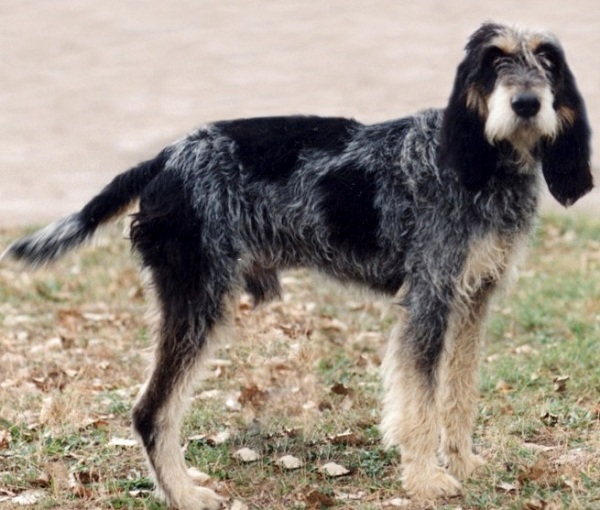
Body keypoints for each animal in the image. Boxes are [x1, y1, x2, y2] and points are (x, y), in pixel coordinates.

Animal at [1, 22, 592, 506]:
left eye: (547, 60)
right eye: (494, 60)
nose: (526, 103)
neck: (487, 164)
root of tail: (165, 157)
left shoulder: (472, 300)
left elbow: (460, 391)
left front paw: (465, 463)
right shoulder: (429, 299)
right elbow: (420, 399)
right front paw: (426, 479)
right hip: (198, 302)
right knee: (151, 411)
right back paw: (184, 495)